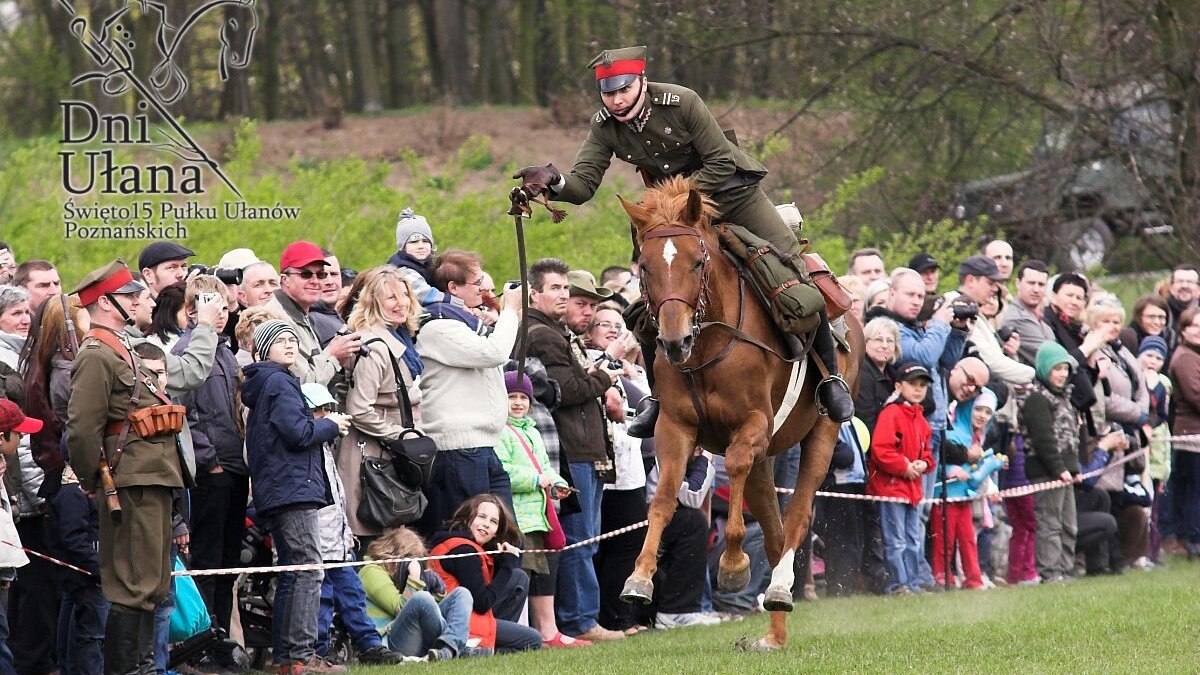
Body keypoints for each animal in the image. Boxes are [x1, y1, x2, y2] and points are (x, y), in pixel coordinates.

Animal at [619, 176, 864, 648]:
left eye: (697, 262)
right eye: (645, 268)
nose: (674, 341)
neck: (707, 346)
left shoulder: (752, 426)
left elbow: (733, 466)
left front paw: (732, 567)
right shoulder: (675, 428)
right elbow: (662, 499)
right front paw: (639, 578)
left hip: (820, 435)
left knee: (796, 517)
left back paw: (781, 590)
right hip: (768, 457)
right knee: (773, 532)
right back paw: (774, 632)